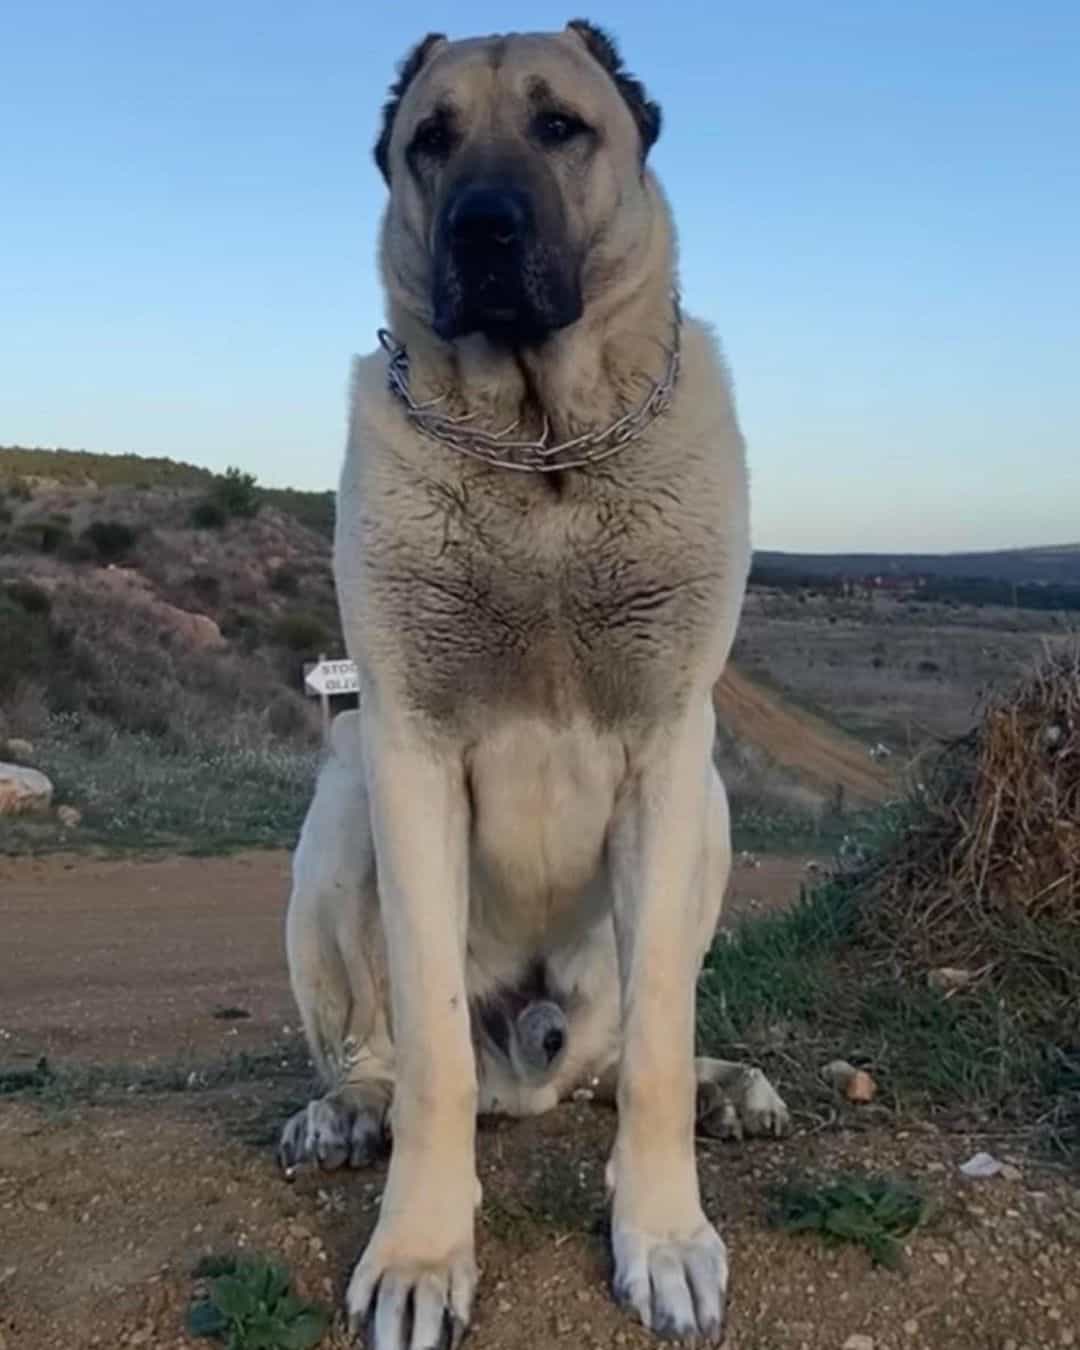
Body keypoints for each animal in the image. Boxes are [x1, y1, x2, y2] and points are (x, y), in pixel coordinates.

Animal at [278, 21, 788, 1350]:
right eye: (432, 139)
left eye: (562, 127)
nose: (485, 230)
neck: (542, 447)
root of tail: (537, 1068)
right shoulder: (407, 748)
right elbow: (434, 1055)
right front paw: (420, 1254)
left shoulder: (669, 751)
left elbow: (658, 1038)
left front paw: (661, 1235)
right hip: (342, 796)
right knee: (381, 1054)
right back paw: (347, 1112)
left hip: (710, 811)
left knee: (616, 1058)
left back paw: (725, 1087)